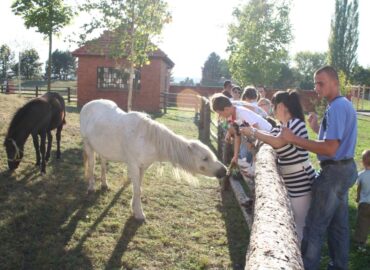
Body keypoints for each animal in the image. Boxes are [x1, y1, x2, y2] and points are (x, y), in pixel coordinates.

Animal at [79, 99, 227, 219]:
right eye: (205, 158)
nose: (224, 171)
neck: (147, 139)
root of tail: (88, 105)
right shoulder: (133, 166)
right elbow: (137, 189)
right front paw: (139, 214)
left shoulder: (143, 167)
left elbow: (138, 188)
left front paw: (134, 208)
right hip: (88, 145)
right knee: (92, 165)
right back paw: (91, 187)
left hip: (102, 148)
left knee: (103, 163)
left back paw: (104, 184)